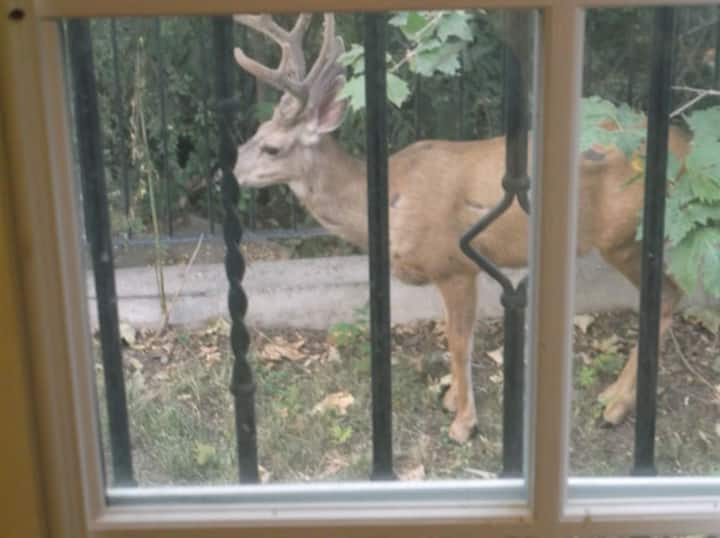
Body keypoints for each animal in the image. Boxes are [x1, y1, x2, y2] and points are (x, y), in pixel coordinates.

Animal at [231, 13, 691, 443]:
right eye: (255, 132)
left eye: (272, 147)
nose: (234, 171)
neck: (389, 200)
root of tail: (686, 148)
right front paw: (454, 399)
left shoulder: (453, 264)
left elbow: (458, 341)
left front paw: (463, 422)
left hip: (624, 237)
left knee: (668, 297)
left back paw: (616, 404)